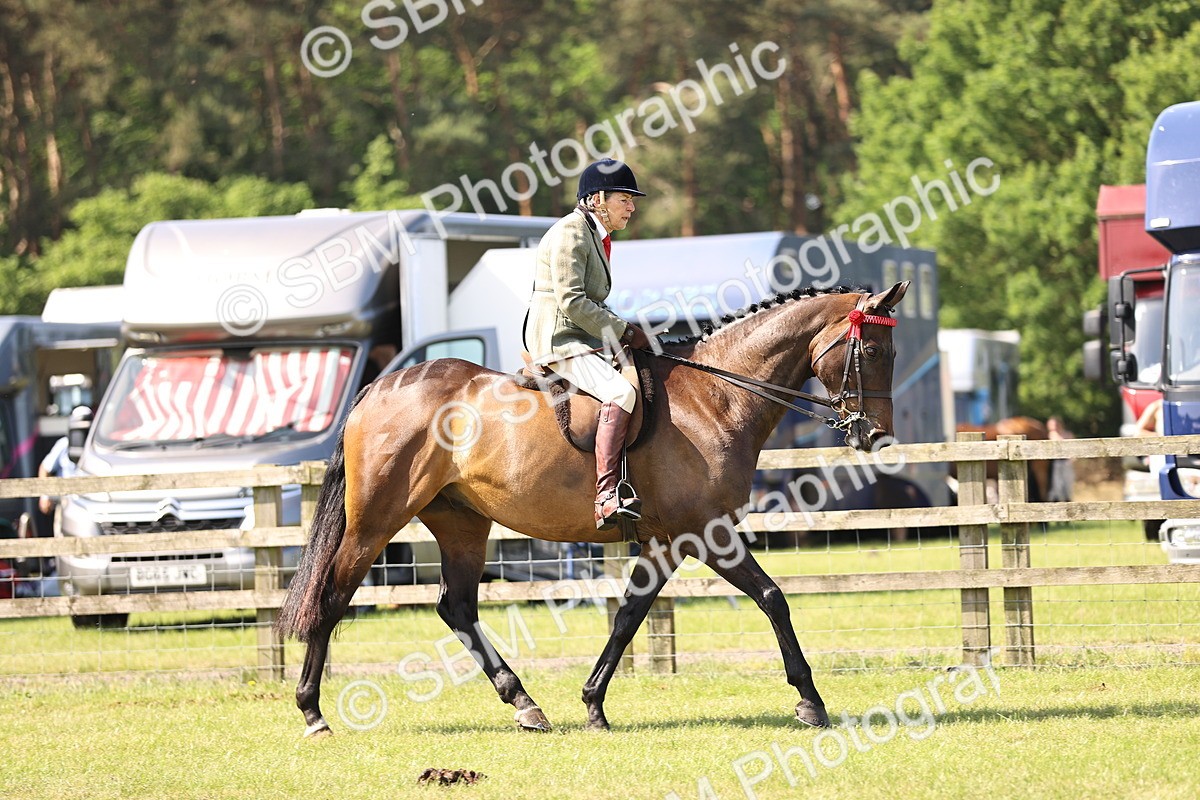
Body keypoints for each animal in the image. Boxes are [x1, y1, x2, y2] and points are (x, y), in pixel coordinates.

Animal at [276, 281, 910, 736]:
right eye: (873, 349)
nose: (878, 434)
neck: (716, 397)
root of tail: (379, 387)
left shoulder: (666, 543)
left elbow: (629, 616)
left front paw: (593, 704)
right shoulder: (707, 533)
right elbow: (774, 598)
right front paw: (811, 702)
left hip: (461, 523)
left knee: (456, 607)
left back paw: (525, 704)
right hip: (376, 521)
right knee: (333, 596)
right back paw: (312, 711)